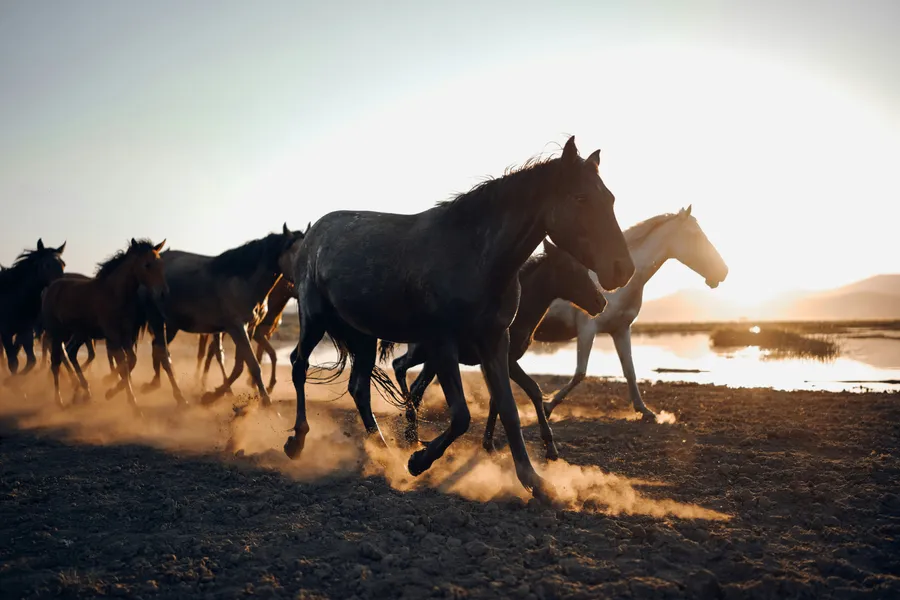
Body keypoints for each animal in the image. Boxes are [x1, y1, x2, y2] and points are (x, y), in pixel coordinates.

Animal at [0, 239, 67, 376]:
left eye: (63, 264)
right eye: (46, 265)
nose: (59, 287)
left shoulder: (25, 331)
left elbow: (31, 361)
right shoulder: (5, 332)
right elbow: (13, 363)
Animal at [41, 239, 168, 407]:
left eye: (161, 264)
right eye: (147, 265)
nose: (163, 292)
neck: (115, 293)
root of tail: (50, 288)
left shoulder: (125, 335)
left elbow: (131, 361)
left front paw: (110, 389)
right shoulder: (113, 335)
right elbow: (123, 364)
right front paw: (132, 403)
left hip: (79, 333)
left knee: (71, 353)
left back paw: (83, 389)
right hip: (57, 333)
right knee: (55, 362)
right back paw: (60, 399)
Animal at [142, 224, 305, 406]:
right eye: (297, 252)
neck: (243, 281)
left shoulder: (249, 328)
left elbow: (242, 365)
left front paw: (214, 395)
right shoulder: (237, 328)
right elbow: (252, 364)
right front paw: (266, 402)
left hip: (171, 324)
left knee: (158, 348)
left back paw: (155, 383)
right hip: (157, 319)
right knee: (163, 353)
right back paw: (178, 396)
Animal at [391, 239, 607, 461]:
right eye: (572, 269)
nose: (601, 302)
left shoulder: (498, 362)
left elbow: (496, 401)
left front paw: (488, 444)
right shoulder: (509, 361)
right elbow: (533, 390)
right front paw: (550, 448)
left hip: (433, 361)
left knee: (415, 386)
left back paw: (412, 435)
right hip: (424, 355)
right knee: (400, 367)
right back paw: (410, 432)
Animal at [534, 206, 728, 419]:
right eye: (694, 235)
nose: (723, 271)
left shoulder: (620, 330)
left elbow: (630, 371)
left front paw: (644, 410)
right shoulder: (587, 329)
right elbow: (580, 373)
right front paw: (548, 406)